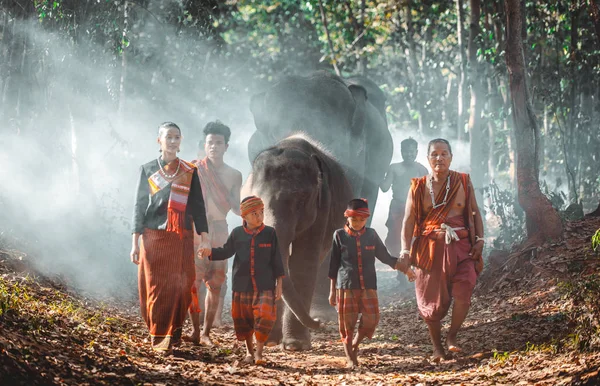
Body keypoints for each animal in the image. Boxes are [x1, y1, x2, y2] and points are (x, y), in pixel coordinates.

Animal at [241, 134, 352, 352]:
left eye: (300, 202)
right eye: (254, 204)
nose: (319, 323)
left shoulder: (322, 207)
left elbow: (303, 261)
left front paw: (295, 345)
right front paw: (267, 340)